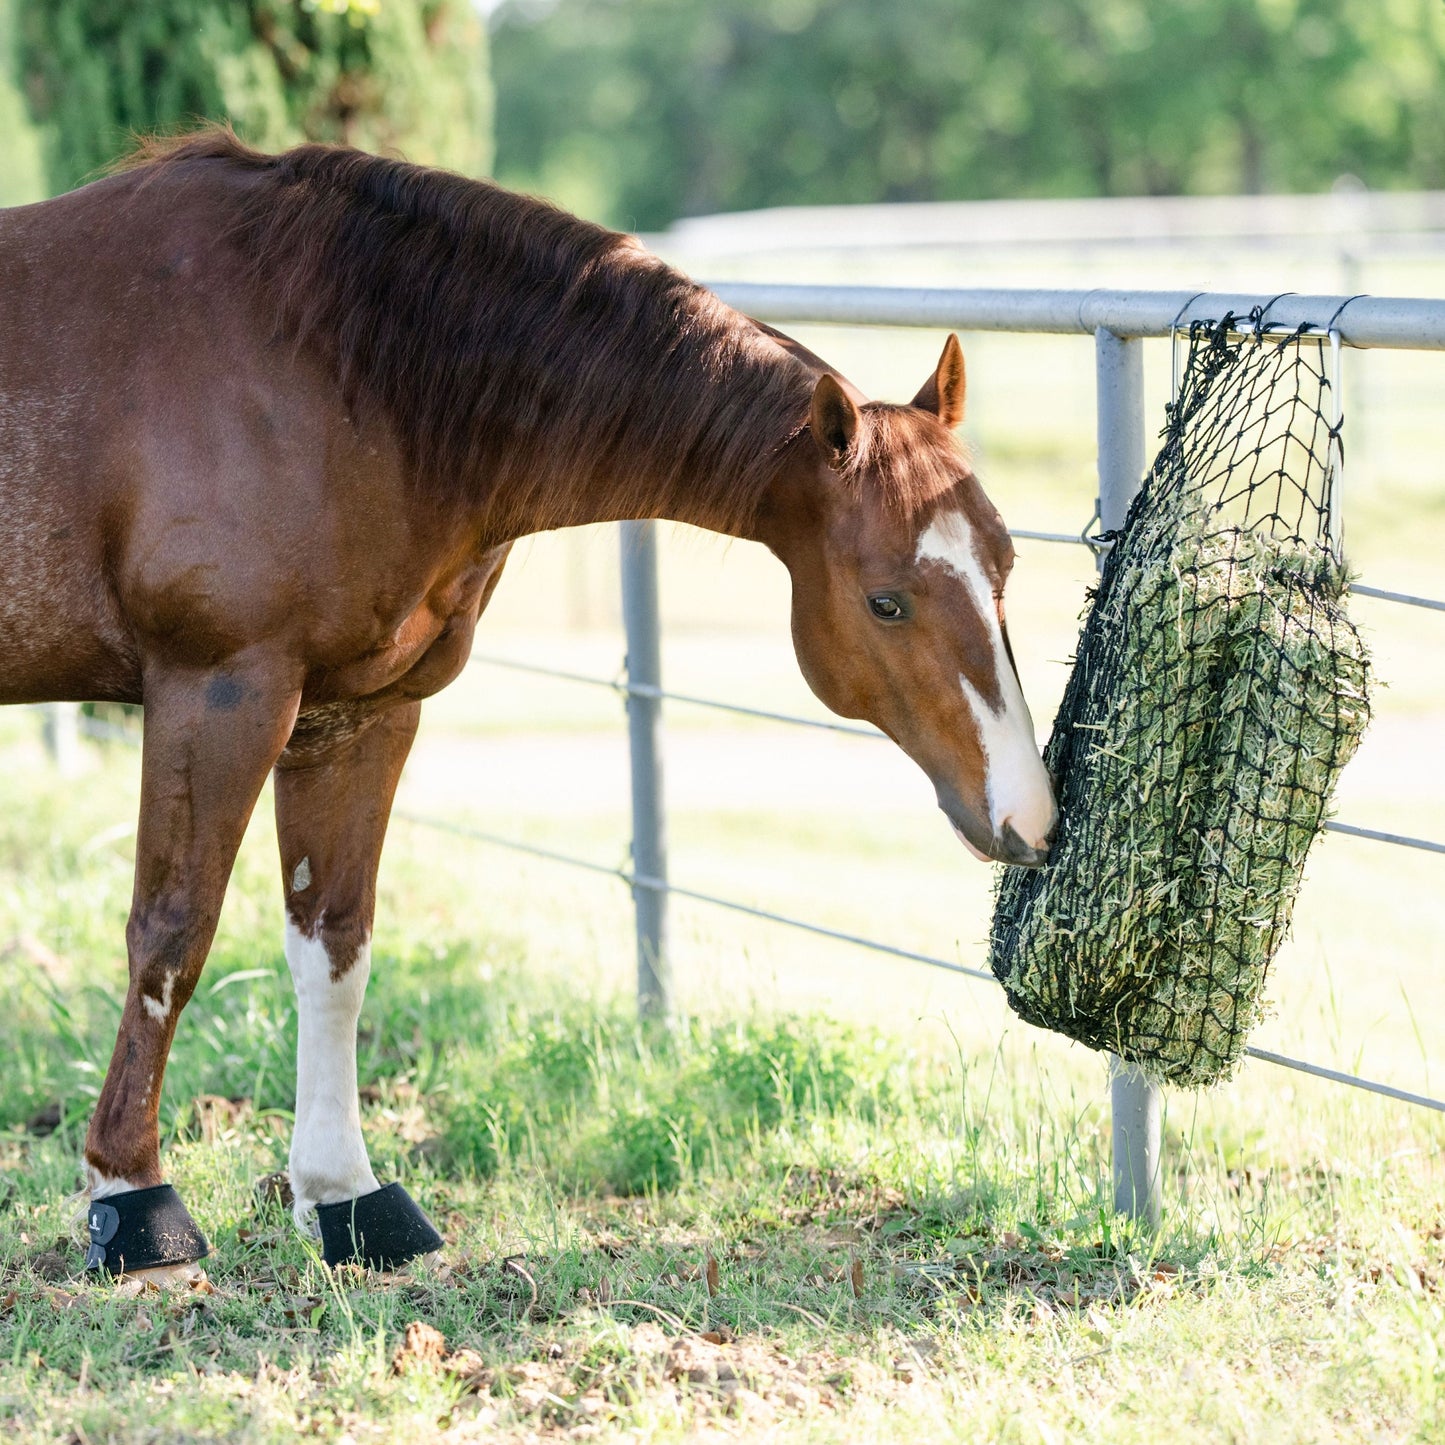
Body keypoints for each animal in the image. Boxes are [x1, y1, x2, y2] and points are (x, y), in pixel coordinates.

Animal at [2, 135, 1063, 1283]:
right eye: (885, 599)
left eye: (1006, 565)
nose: (1028, 815)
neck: (332, 371)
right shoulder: (220, 688)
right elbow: (172, 931)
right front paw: (132, 1197)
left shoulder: (357, 712)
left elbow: (334, 944)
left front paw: (346, 1195)